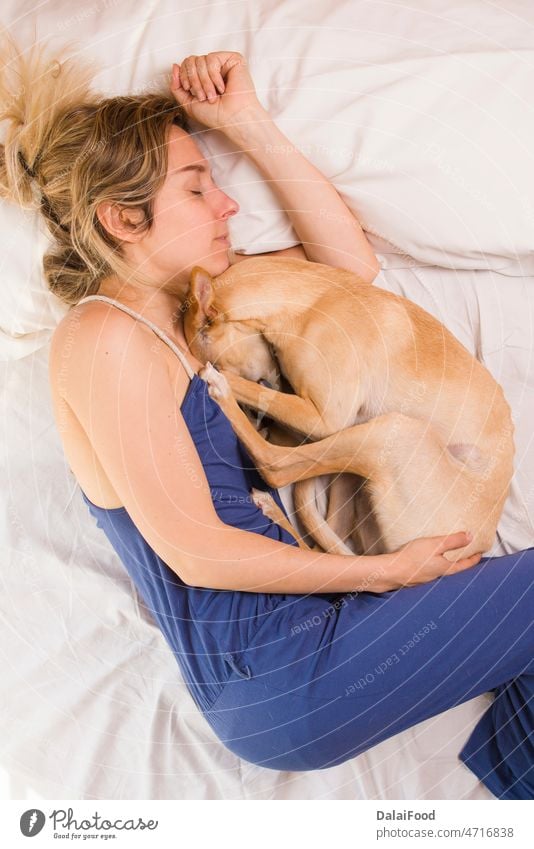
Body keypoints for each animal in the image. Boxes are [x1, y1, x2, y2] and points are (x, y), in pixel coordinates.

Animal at [183, 258, 516, 564]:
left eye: (223, 362)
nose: (256, 421)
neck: (311, 303)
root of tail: (476, 544)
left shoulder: (326, 418)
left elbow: (258, 392)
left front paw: (223, 380)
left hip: (392, 432)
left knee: (276, 467)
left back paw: (223, 397)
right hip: (355, 472)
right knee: (324, 550)